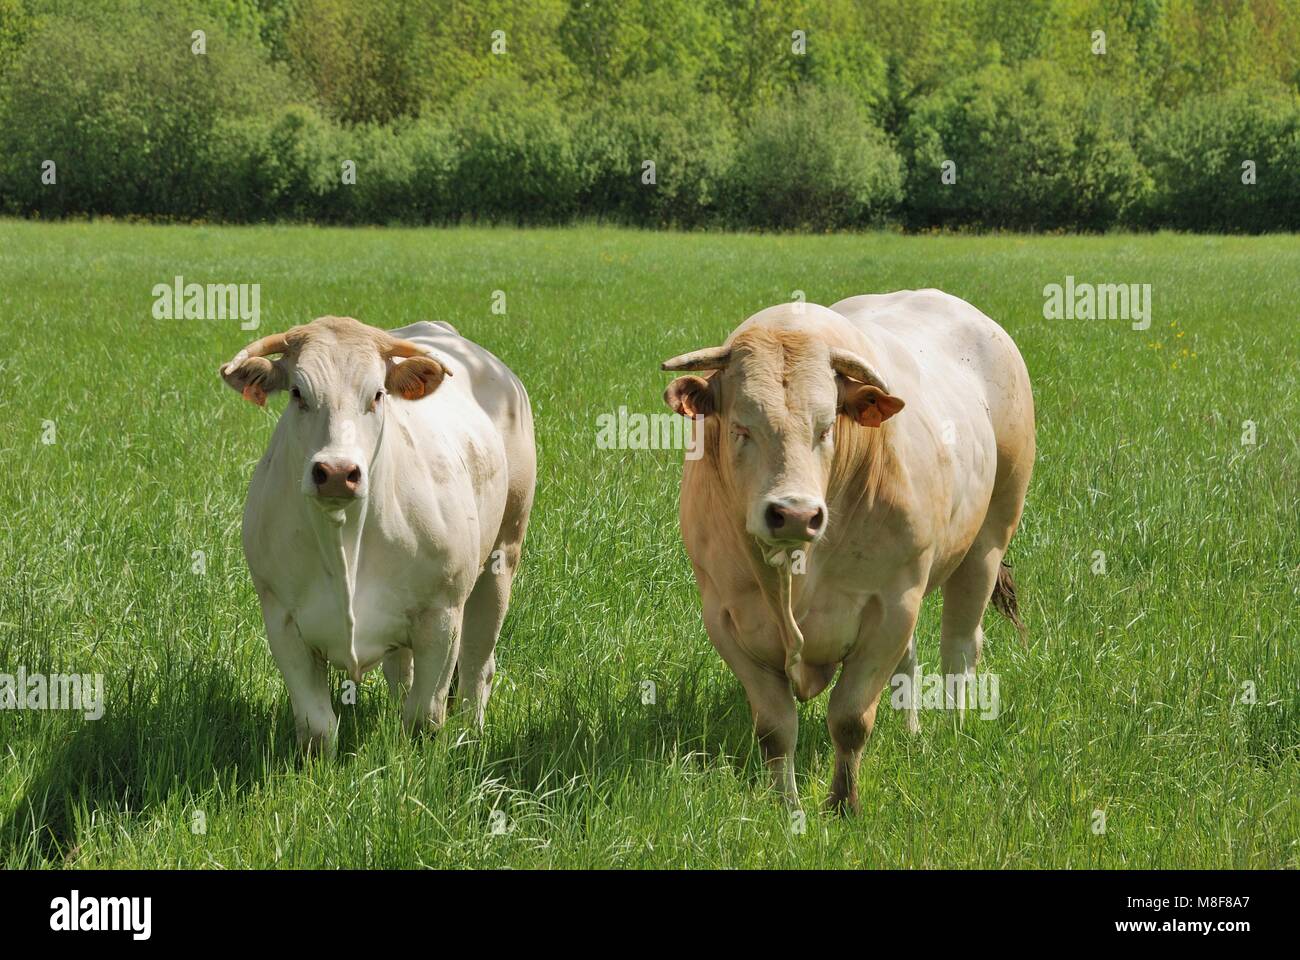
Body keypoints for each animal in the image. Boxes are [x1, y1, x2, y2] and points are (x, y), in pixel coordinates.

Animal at [220, 316, 535, 756]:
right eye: (298, 393)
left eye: (378, 394)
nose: (336, 472)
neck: (345, 541)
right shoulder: (282, 620)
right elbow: (317, 728)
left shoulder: (442, 617)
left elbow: (424, 717)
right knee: (400, 670)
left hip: (502, 556)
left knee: (477, 665)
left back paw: (470, 734)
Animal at [660, 290, 1035, 813]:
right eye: (741, 428)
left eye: (825, 429)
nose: (795, 514)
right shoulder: (724, 617)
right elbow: (775, 729)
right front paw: (788, 807)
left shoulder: (891, 606)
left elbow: (851, 719)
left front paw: (843, 805)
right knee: (912, 660)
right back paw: (913, 733)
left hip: (988, 540)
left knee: (960, 647)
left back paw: (956, 731)